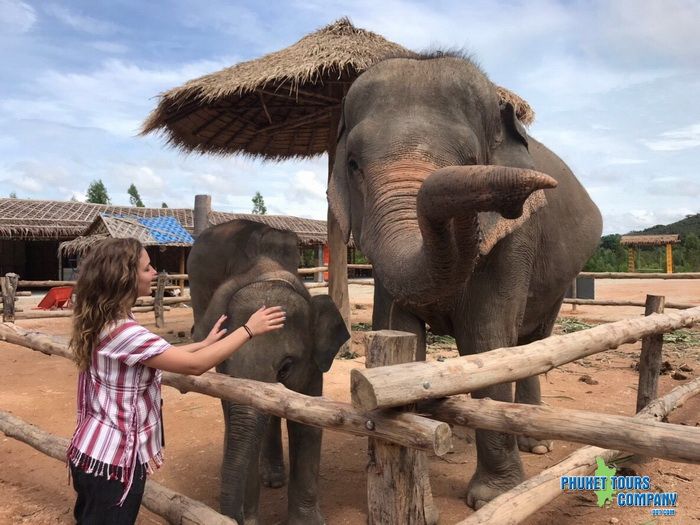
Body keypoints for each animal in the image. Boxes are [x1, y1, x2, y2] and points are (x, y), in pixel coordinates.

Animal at [189, 218, 350, 524]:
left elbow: (306, 424)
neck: (270, 274)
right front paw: (250, 517)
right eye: (227, 363)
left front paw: (308, 522)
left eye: (286, 367)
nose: (233, 517)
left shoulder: (313, 364)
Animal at [328, 54, 600, 508]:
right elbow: (399, 329)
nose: (543, 185)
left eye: (473, 160)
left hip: (561, 279)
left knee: (534, 342)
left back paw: (535, 442)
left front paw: (490, 497)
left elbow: (486, 339)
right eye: (353, 164)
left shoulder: (516, 236)